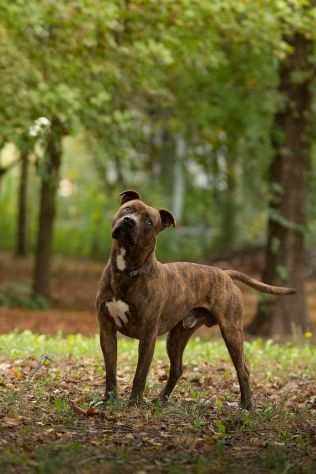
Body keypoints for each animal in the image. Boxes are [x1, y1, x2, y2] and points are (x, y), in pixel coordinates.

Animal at [95, 191, 296, 410]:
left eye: (148, 221)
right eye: (128, 209)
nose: (129, 221)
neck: (126, 271)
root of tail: (225, 273)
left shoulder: (148, 336)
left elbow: (140, 373)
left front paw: (134, 403)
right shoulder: (107, 330)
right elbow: (110, 369)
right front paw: (109, 399)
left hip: (232, 332)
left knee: (243, 368)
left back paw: (246, 405)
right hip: (177, 337)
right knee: (177, 369)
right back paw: (161, 400)